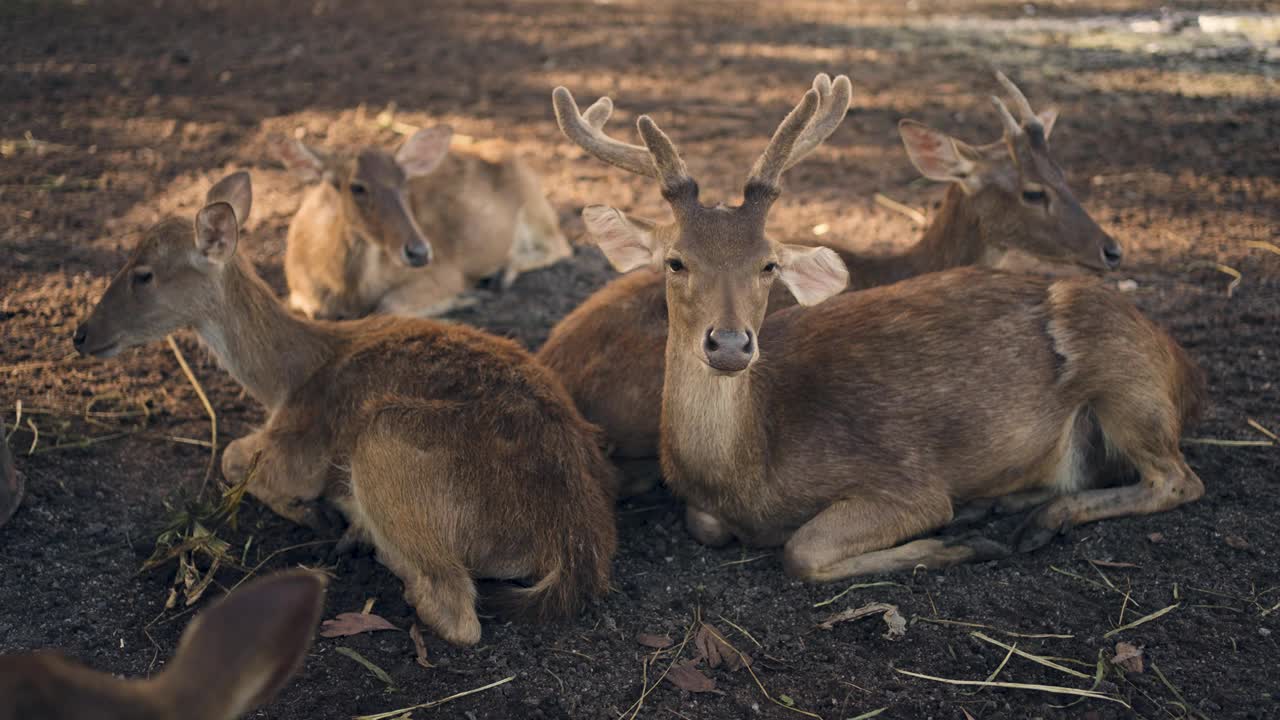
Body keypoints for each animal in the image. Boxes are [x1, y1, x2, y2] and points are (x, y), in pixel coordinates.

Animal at [72, 170, 622, 640]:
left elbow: (231, 457)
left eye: (144, 274)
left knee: (455, 611)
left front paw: (315, 513)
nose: (81, 335)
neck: (287, 379)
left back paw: (362, 535)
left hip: (384, 441)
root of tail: (574, 544)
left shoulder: (298, 451)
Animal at [282, 124, 573, 317]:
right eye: (356, 186)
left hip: (535, 206)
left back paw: (500, 274)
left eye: (404, 183)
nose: (419, 252)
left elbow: (387, 307)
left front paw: (463, 298)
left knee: (560, 246)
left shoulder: (445, 273)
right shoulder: (298, 293)